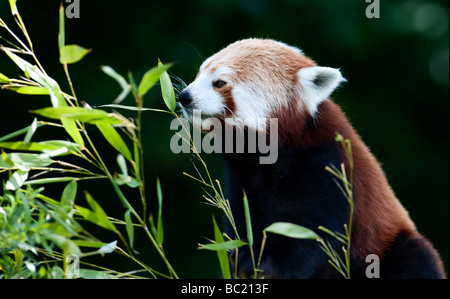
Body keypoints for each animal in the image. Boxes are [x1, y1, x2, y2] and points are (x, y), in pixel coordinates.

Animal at [178, 38, 444, 280]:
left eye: (219, 83)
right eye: (199, 74)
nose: (183, 96)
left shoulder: (325, 165)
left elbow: (309, 229)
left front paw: (268, 266)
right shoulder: (241, 175)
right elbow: (241, 219)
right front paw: (243, 257)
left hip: (390, 245)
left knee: (413, 260)